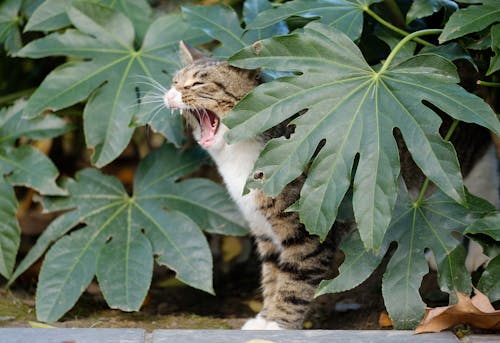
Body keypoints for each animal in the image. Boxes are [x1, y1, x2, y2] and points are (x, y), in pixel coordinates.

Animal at [163, 41, 496, 330]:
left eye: (197, 84)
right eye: (175, 81)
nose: (167, 95)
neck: (237, 160)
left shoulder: (308, 226)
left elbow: (294, 280)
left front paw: (278, 324)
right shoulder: (264, 231)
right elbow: (272, 275)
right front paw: (265, 317)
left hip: (460, 158)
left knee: (479, 196)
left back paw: (479, 255)